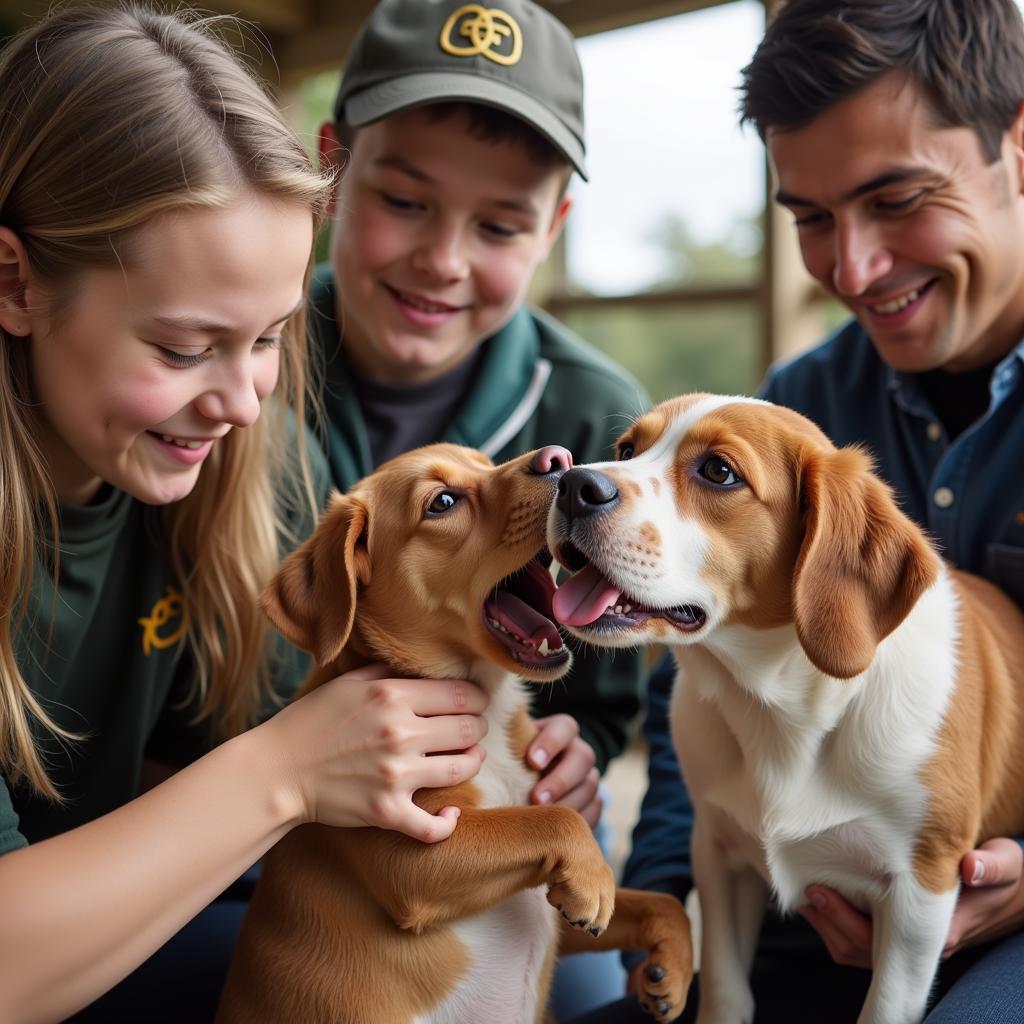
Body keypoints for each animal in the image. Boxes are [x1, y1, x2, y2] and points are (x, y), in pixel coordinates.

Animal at [219, 444, 692, 1024]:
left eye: (486, 463)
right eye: (442, 502)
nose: (562, 460)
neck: (489, 702)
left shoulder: (548, 906)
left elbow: (660, 902)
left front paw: (669, 968)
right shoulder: (410, 854)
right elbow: (553, 819)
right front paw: (592, 878)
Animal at [548, 395, 1024, 1024]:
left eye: (718, 471)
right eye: (627, 449)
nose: (572, 482)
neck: (782, 707)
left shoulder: (921, 892)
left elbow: (883, 1006)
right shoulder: (720, 855)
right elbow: (726, 989)